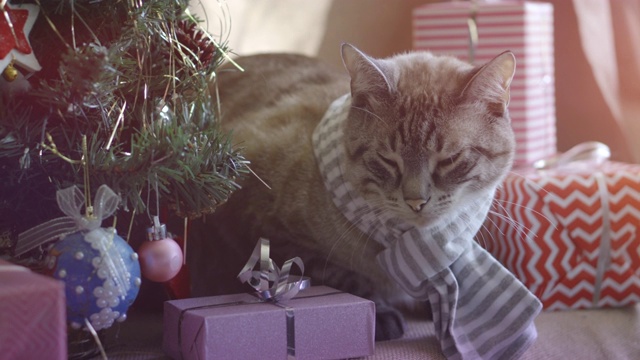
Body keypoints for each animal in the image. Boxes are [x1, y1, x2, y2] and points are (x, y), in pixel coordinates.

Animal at [189, 43, 516, 342]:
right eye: (388, 160)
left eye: (449, 160)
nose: (416, 201)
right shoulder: (263, 227)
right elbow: (340, 277)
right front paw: (382, 313)